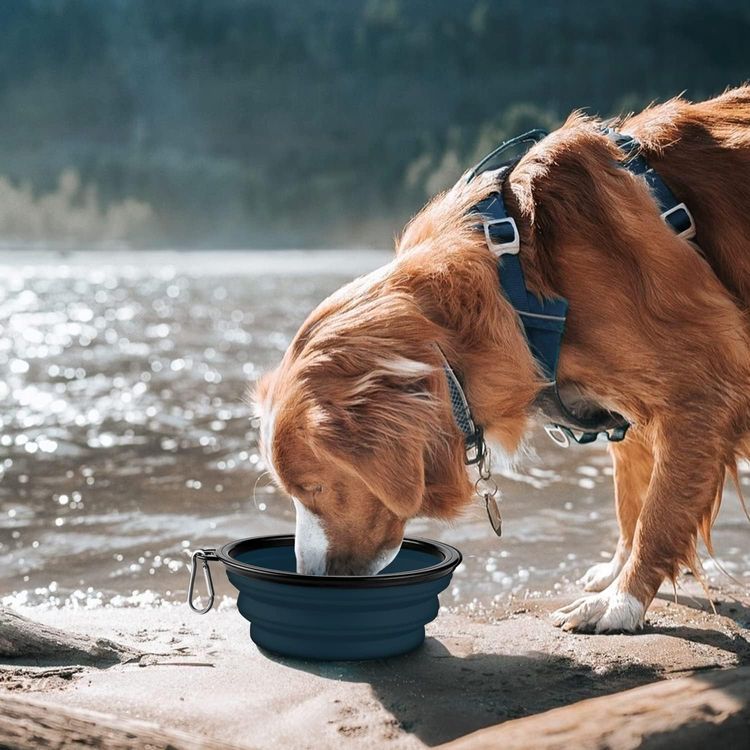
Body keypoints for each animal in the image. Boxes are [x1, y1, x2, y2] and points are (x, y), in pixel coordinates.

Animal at [254, 89, 750, 640]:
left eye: (314, 487)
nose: (309, 576)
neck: (524, 283)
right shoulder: (633, 407)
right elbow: (632, 500)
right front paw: (616, 571)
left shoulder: (703, 390)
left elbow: (659, 513)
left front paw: (621, 601)